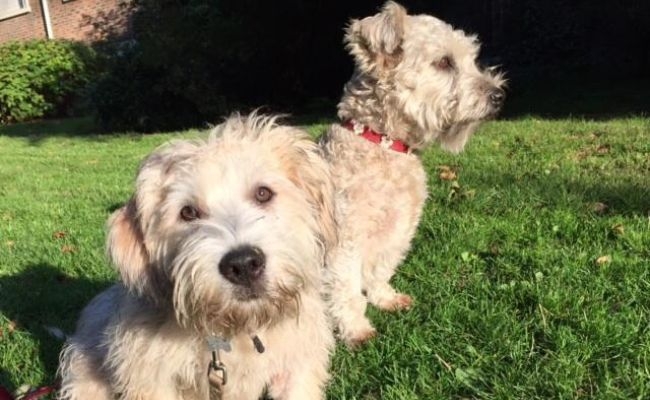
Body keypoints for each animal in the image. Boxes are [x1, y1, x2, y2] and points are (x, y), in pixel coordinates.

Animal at [58, 115, 336, 400]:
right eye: (188, 212)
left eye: (263, 193)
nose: (243, 265)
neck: (238, 329)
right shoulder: (152, 380)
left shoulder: (297, 367)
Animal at [322, 1, 504, 346]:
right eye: (444, 62)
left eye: (471, 58)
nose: (498, 95)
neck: (385, 144)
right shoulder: (344, 241)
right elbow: (347, 289)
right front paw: (356, 329)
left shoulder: (400, 229)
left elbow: (380, 270)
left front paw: (386, 299)